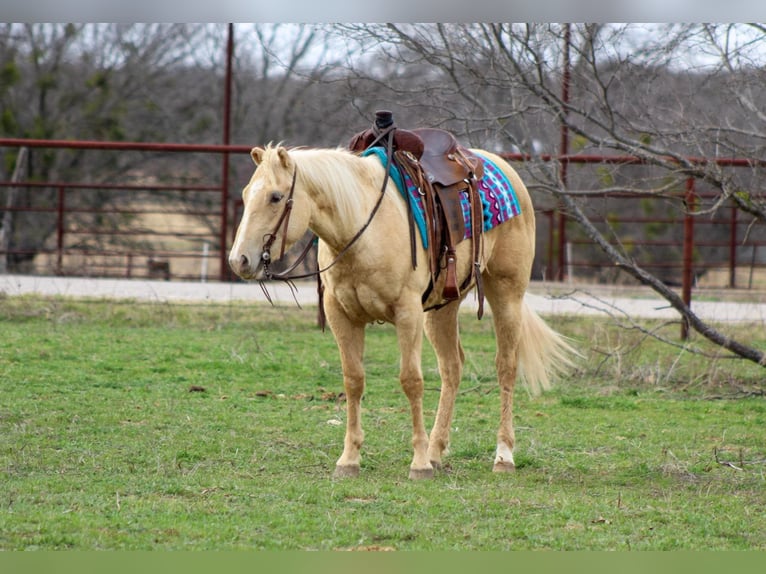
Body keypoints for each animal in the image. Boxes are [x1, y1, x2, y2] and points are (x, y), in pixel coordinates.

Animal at [229, 143, 576, 479]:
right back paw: (437, 451)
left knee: (506, 366)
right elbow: (353, 380)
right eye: (245, 194)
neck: (362, 229)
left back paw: (502, 456)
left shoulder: (407, 313)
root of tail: (503, 167)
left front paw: (419, 464)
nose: (238, 260)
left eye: (275, 197)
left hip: (506, 294)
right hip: (442, 309)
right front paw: (349, 460)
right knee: (452, 367)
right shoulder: (341, 315)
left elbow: (412, 381)